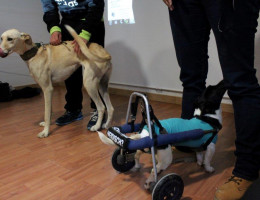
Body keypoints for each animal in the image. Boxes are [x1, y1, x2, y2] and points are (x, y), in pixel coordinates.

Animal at [98, 80, 226, 189]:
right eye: (214, 90)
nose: (224, 81)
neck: (206, 117)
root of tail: (146, 133)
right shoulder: (211, 147)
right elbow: (207, 160)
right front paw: (208, 168)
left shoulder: (198, 146)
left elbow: (199, 156)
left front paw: (199, 163)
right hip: (166, 159)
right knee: (154, 171)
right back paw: (149, 182)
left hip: (144, 149)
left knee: (136, 156)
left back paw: (137, 166)